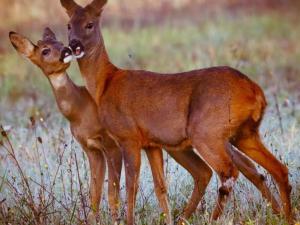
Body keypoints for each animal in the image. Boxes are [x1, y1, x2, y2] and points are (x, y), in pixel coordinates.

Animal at [60, 0, 290, 223]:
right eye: (69, 25)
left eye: (90, 24)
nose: (74, 44)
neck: (105, 83)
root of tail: (255, 90)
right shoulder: (151, 144)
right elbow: (160, 186)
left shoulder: (128, 137)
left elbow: (131, 186)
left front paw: (128, 220)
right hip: (244, 134)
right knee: (277, 169)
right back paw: (288, 216)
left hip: (206, 132)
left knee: (228, 172)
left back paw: (212, 219)